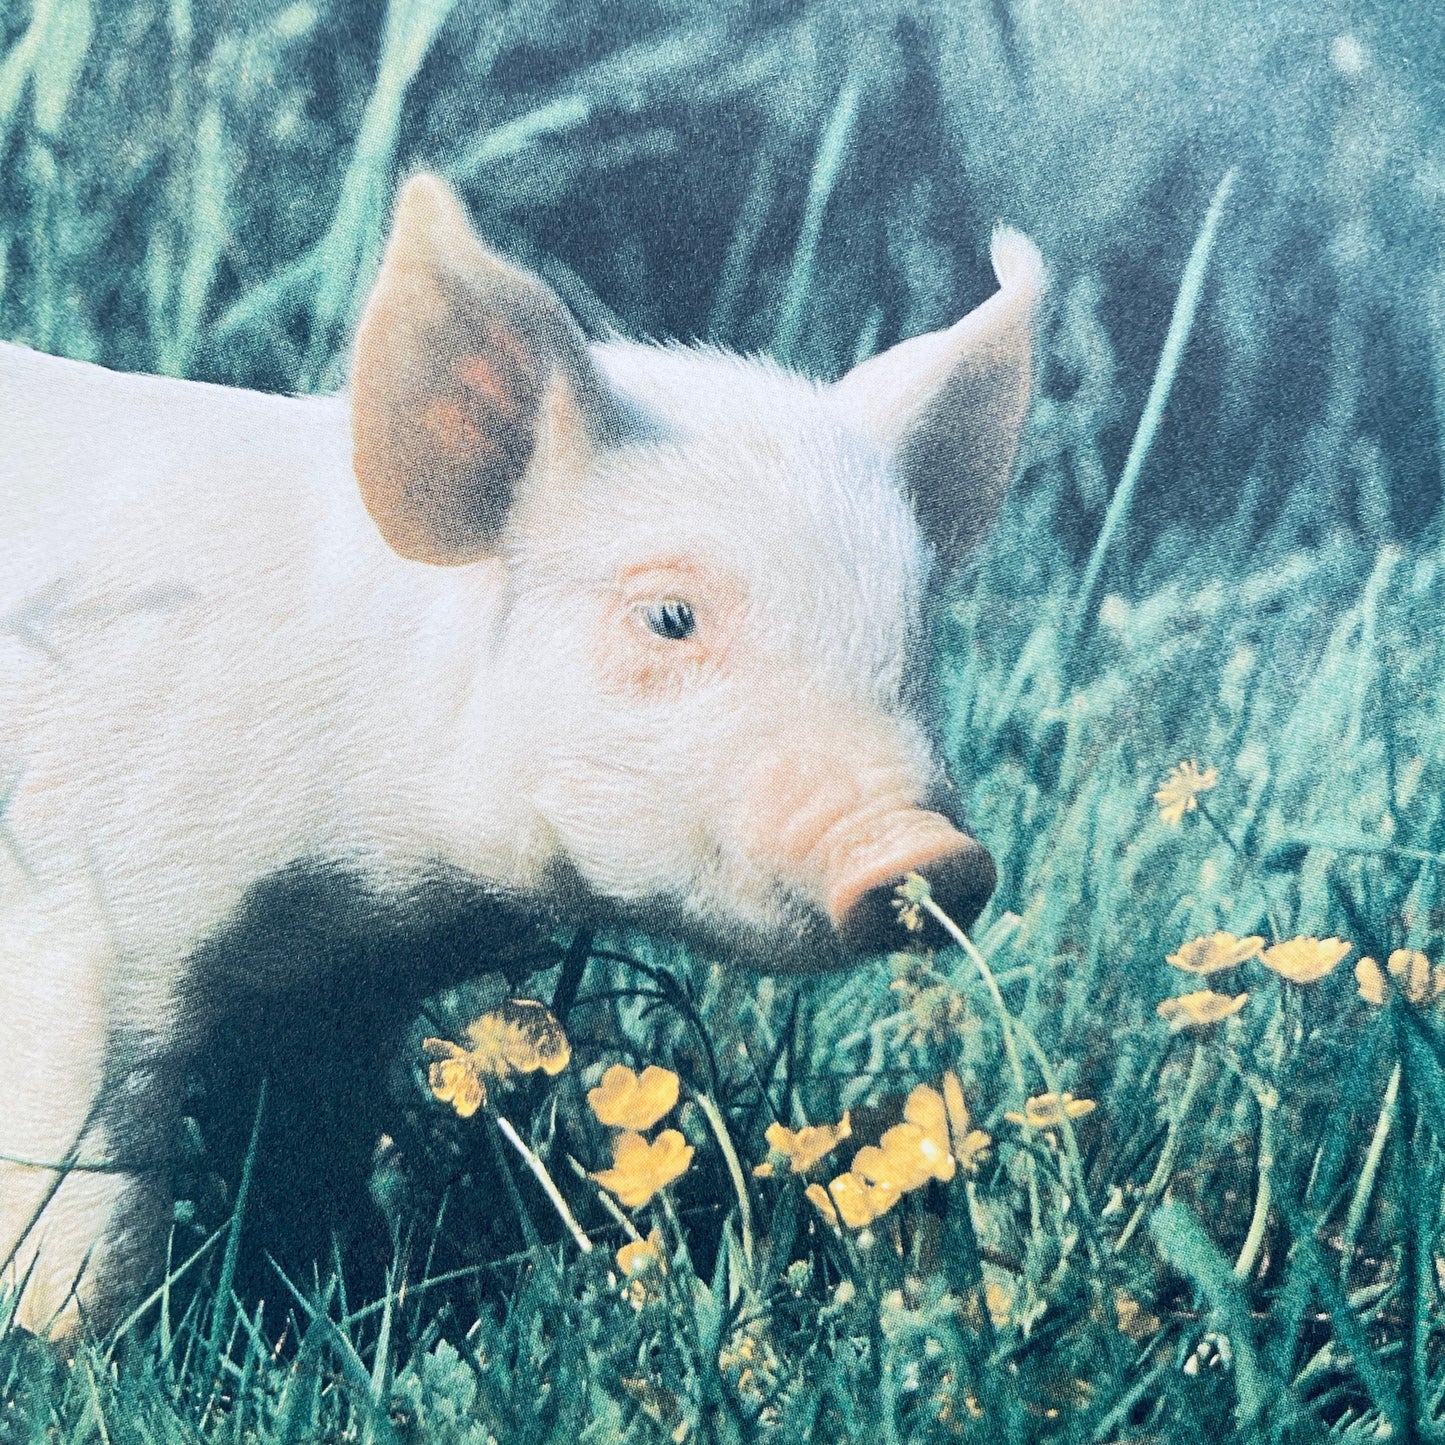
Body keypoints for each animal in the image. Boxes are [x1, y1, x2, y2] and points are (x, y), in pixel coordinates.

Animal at [0, 172, 1042, 1335]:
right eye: (668, 616)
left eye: (918, 630)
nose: (929, 849)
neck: (361, 883)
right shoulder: (80, 926)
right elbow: (83, 1202)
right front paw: (78, 1354)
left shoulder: (337, 987)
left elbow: (313, 1150)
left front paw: (341, 1290)